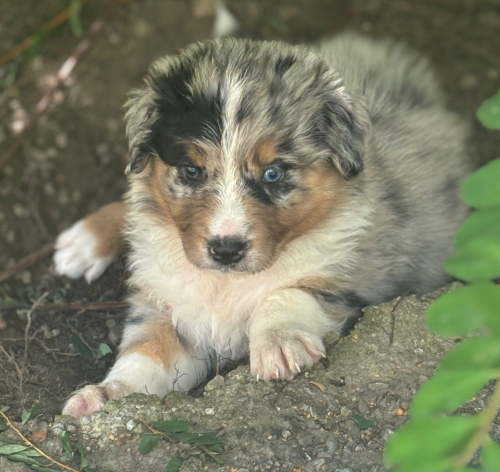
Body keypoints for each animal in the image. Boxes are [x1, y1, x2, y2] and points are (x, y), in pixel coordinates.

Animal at [53, 33, 472, 416]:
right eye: (191, 171)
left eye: (273, 174)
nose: (226, 250)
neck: (225, 284)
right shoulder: (170, 310)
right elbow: (145, 355)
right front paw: (104, 396)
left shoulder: (353, 286)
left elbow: (288, 293)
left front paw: (280, 343)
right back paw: (82, 243)